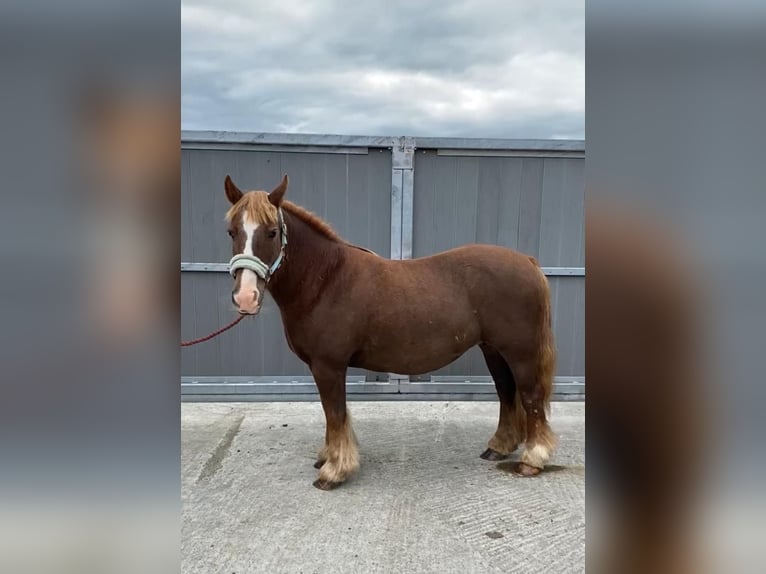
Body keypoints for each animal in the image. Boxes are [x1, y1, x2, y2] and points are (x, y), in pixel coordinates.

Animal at [222, 174, 560, 490]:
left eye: (271, 232)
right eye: (232, 231)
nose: (246, 297)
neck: (326, 279)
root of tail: (528, 262)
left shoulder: (328, 366)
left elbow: (334, 413)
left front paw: (334, 470)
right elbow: (335, 415)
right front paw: (329, 457)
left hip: (521, 351)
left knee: (530, 396)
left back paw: (533, 459)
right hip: (493, 349)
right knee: (506, 392)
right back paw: (499, 447)